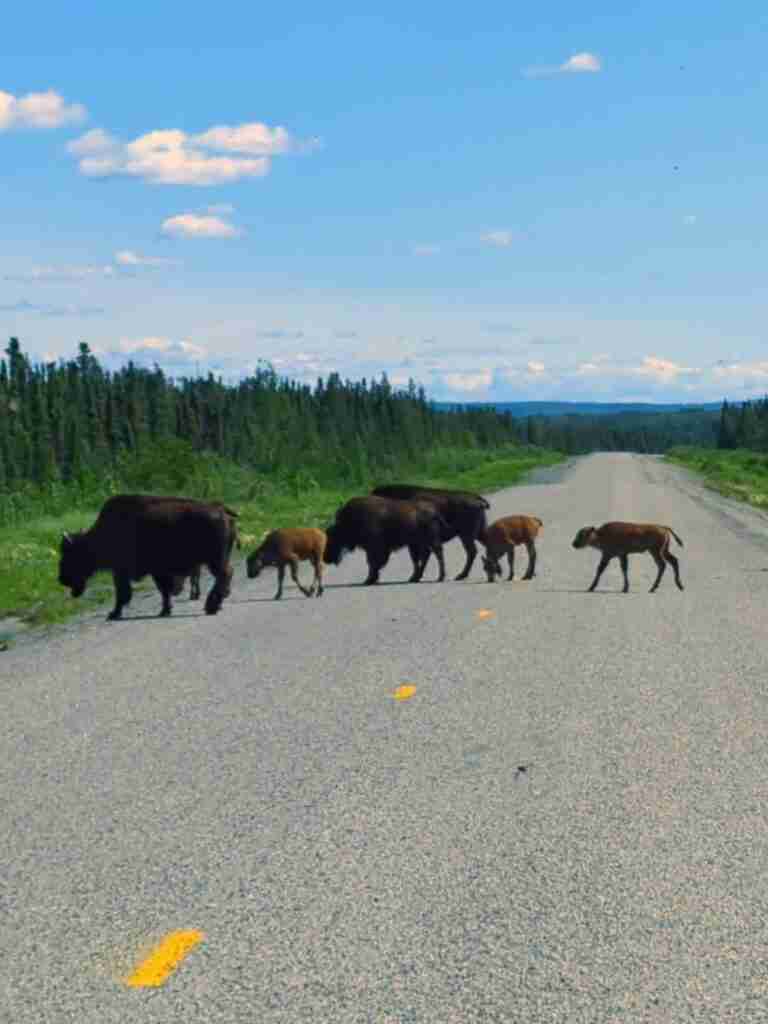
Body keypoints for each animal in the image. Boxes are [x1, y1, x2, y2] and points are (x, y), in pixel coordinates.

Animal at [58, 494, 238, 620]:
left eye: (70, 554)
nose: (62, 579)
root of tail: (221, 509)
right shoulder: (155, 572)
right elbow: (163, 590)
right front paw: (165, 610)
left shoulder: (122, 572)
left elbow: (124, 593)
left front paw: (114, 613)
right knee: (226, 574)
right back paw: (215, 605)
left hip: (214, 561)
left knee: (224, 574)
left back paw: (211, 606)